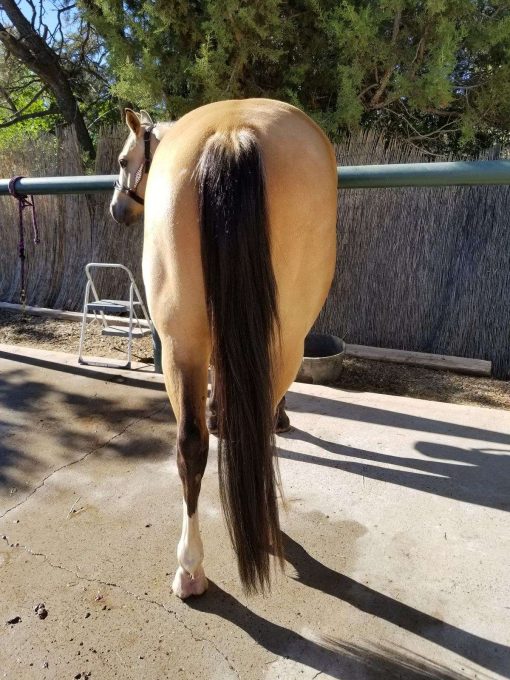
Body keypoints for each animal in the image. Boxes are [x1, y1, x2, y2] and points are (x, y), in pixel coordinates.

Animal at [109, 98, 336, 596]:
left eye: (122, 160)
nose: (117, 209)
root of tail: (231, 134)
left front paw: (218, 414)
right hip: (278, 344)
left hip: (182, 342)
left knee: (191, 446)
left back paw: (191, 568)